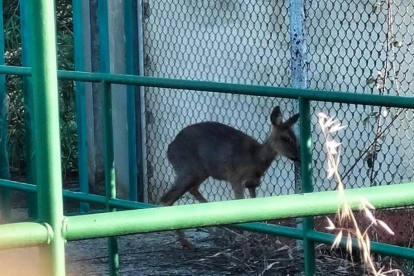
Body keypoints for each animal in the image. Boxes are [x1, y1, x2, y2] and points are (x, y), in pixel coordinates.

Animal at [160, 106, 300, 258]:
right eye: (284, 138)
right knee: (166, 199)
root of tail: (169, 149)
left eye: (295, 137)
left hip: (201, 172)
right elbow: (242, 211)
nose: (297, 157)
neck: (256, 158)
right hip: (188, 170)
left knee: (191, 190)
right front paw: (246, 252)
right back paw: (187, 242)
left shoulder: (252, 183)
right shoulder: (236, 179)